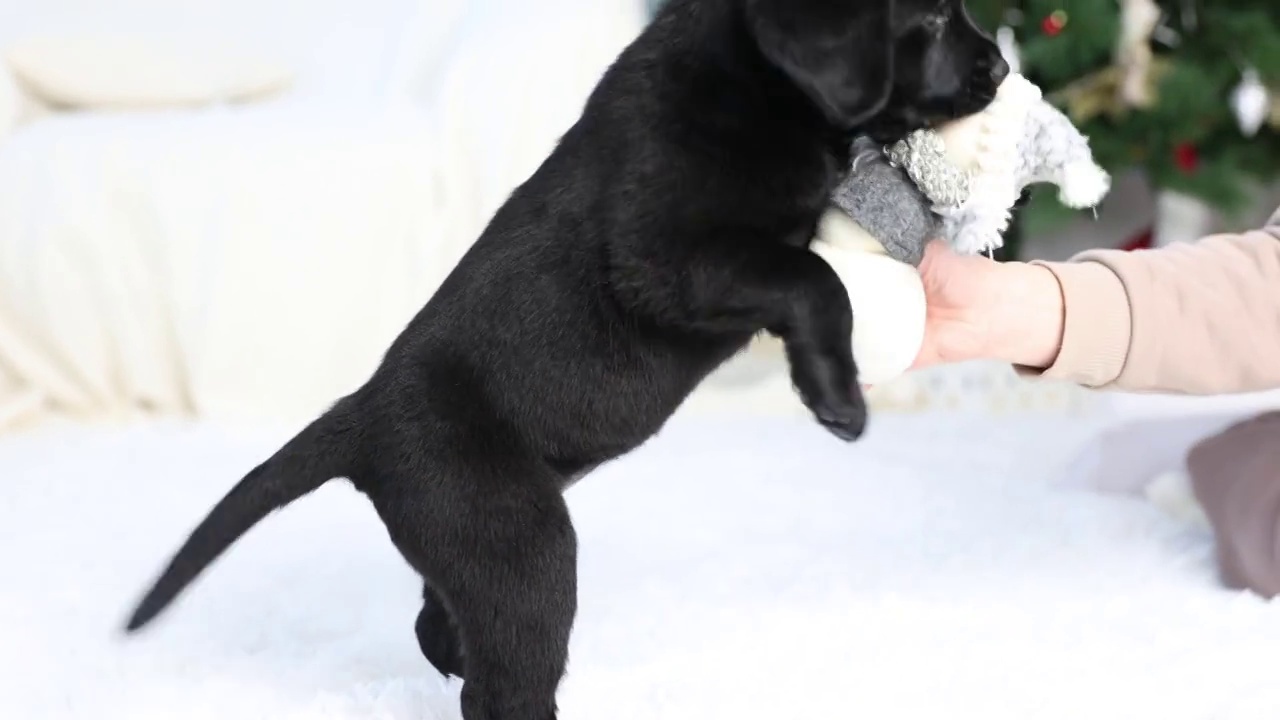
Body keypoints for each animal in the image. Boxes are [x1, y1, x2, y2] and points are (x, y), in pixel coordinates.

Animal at [127, 2, 1008, 712]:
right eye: (930, 19)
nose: (1001, 67)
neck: (752, 83)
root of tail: (362, 415)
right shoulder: (666, 261)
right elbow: (816, 279)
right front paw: (836, 394)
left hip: (477, 545)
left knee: (442, 625)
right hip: (522, 540)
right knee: (503, 684)